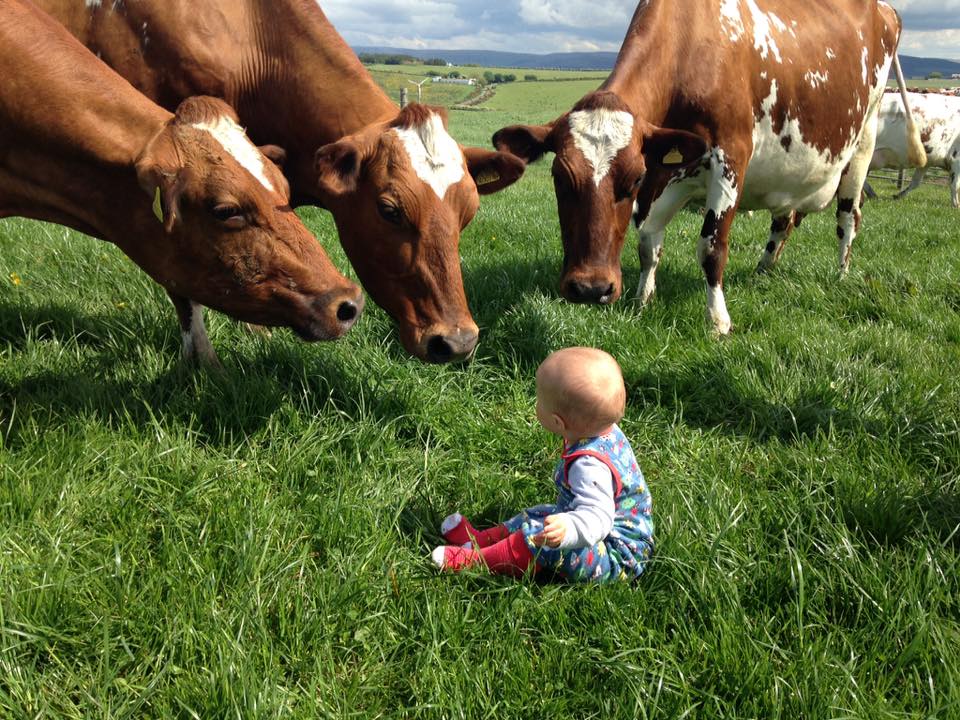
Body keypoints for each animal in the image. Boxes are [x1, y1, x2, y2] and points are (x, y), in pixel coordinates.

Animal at [496, 0, 924, 332]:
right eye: (559, 177)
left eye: (632, 180)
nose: (590, 289)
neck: (690, 48)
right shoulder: (668, 171)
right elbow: (648, 241)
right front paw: (642, 300)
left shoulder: (730, 156)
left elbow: (711, 247)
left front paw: (718, 320)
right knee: (783, 219)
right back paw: (764, 269)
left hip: (863, 141)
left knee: (848, 217)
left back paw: (840, 273)